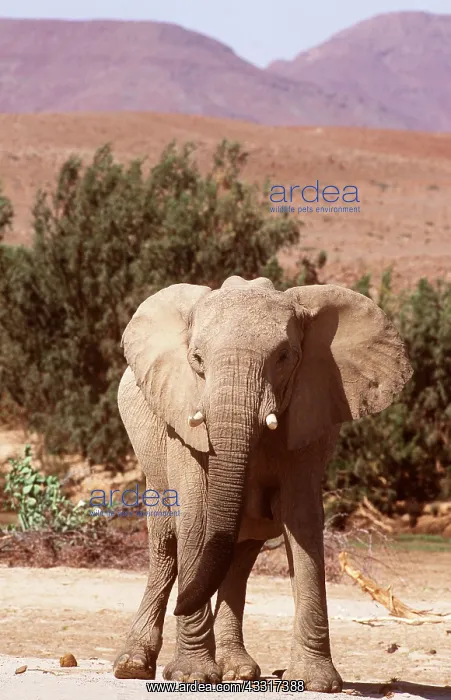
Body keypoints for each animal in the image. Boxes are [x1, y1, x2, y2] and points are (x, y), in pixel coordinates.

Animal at [113, 275, 412, 692]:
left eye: (285, 357)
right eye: (197, 359)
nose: (183, 605)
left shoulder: (311, 417)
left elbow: (302, 522)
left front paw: (317, 683)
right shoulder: (182, 422)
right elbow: (195, 519)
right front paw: (193, 675)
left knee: (239, 560)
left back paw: (237, 671)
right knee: (165, 548)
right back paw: (133, 666)